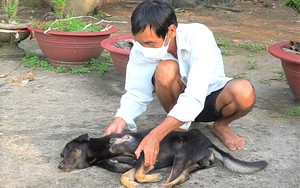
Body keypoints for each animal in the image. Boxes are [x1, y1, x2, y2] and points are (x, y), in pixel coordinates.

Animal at [58, 129, 268, 187]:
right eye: (61, 154)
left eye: (68, 149)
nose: (59, 166)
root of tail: (210, 143)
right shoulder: (135, 163)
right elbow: (124, 175)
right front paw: (132, 182)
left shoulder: (143, 154)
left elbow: (137, 174)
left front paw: (148, 178)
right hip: (189, 163)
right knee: (183, 177)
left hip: (182, 155)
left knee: (172, 178)